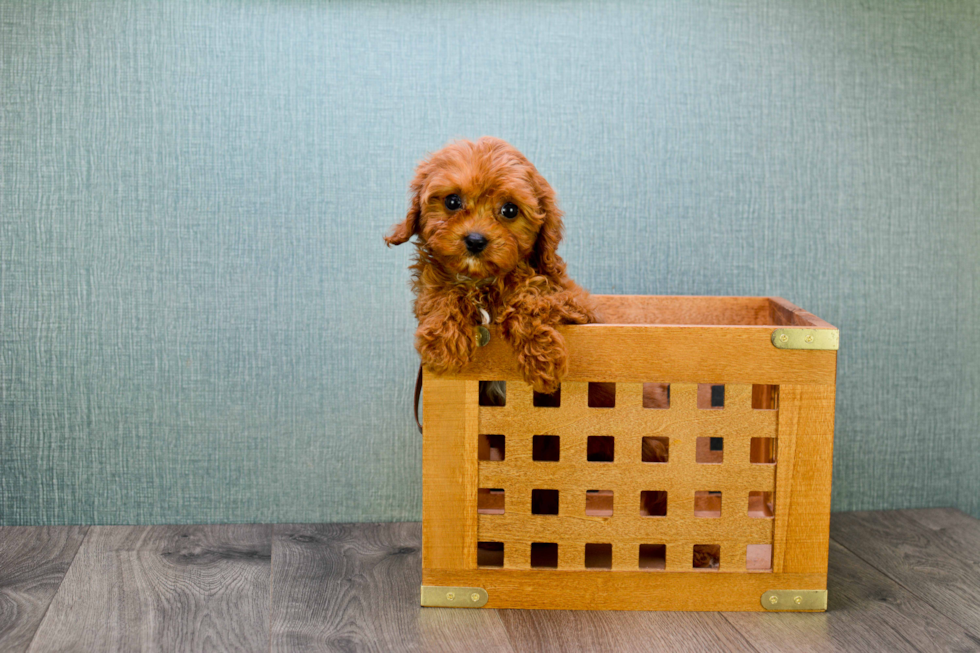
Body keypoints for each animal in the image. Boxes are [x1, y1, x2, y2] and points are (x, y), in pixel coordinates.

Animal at [386, 138, 592, 392]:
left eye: (510, 210)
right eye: (452, 201)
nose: (475, 240)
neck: (480, 283)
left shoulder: (577, 305)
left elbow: (531, 300)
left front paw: (543, 358)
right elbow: (440, 294)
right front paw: (442, 342)